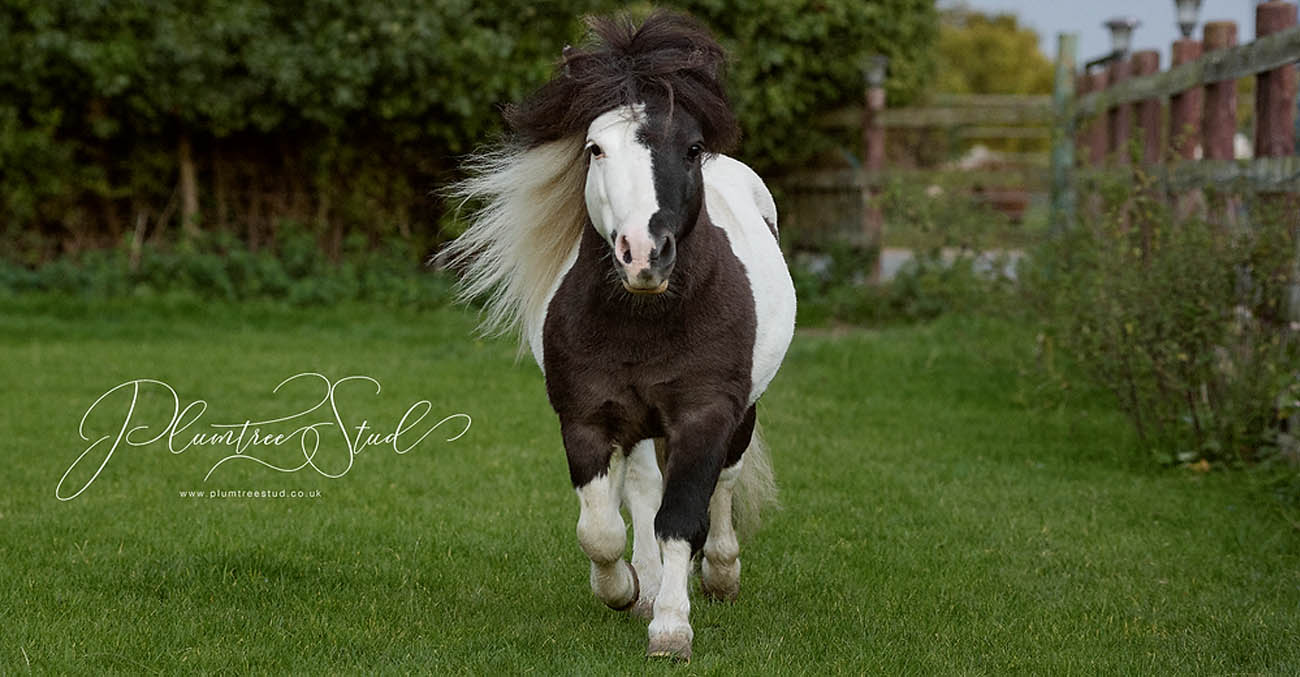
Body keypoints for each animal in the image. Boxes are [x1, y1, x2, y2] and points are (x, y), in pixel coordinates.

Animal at [444, 10, 790, 660]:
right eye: (595, 148)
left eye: (693, 148)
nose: (643, 254)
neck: (644, 323)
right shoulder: (585, 416)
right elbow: (601, 529)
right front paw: (626, 590)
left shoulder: (705, 414)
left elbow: (682, 519)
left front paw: (672, 629)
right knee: (643, 491)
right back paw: (649, 586)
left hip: (742, 413)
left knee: (724, 487)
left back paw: (720, 576)